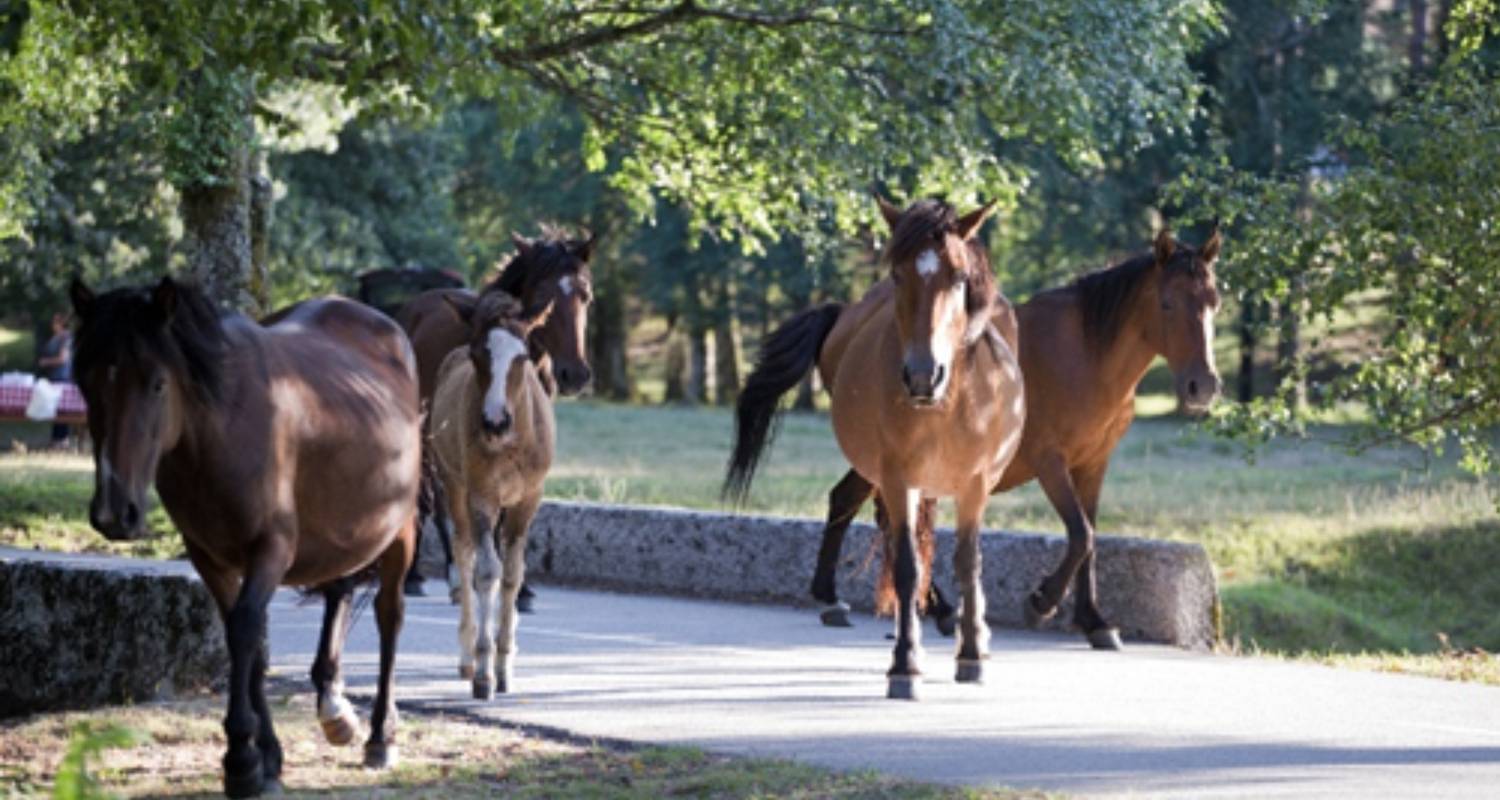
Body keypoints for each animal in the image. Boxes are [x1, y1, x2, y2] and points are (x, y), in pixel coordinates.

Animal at [70, 273, 423, 792]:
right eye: (85, 384)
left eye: (157, 383)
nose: (116, 513)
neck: (220, 429)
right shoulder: (210, 559)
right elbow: (248, 644)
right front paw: (268, 757)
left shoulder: (270, 550)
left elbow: (244, 630)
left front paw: (239, 759)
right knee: (338, 587)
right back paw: (334, 706)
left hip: (399, 531)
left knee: (389, 615)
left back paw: (381, 735)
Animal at [429, 289, 558, 696]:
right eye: (478, 354)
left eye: (522, 356)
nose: (495, 422)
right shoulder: (481, 495)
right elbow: (487, 572)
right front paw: (485, 670)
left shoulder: (528, 499)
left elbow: (513, 574)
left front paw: (505, 661)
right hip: (453, 485)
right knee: (464, 553)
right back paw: (467, 656)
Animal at [720, 196, 1026, 696]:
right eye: (898, 274)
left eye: (959, 277)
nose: (923, 375)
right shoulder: (898, 476)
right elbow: (906, 564)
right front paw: (905, 662)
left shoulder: (975, 483)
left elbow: (968, 563)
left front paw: (971, 652)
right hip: (877, 468)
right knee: (862, 509)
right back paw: (844, 600)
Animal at [810, 225, 1218, 648]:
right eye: (1168, 304)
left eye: (1215, 303)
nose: (1202, 386)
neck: (1087, 355)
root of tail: (846, 321)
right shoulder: (1050, 461)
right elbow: (1081, 534)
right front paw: (1042, 601)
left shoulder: (1092, 464)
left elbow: (1089, 538)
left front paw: (1093, 619)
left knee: (854, 503)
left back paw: (855, 599)